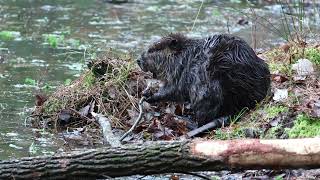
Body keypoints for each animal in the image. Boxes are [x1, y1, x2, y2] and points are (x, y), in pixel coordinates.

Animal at [137, 33, 270, 126]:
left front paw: (149, 95)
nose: (138, 60)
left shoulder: (181, 72)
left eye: (152, 50)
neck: (185, 55)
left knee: (202, 119)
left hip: (205, 88)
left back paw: (183, 119)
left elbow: (174, 90)